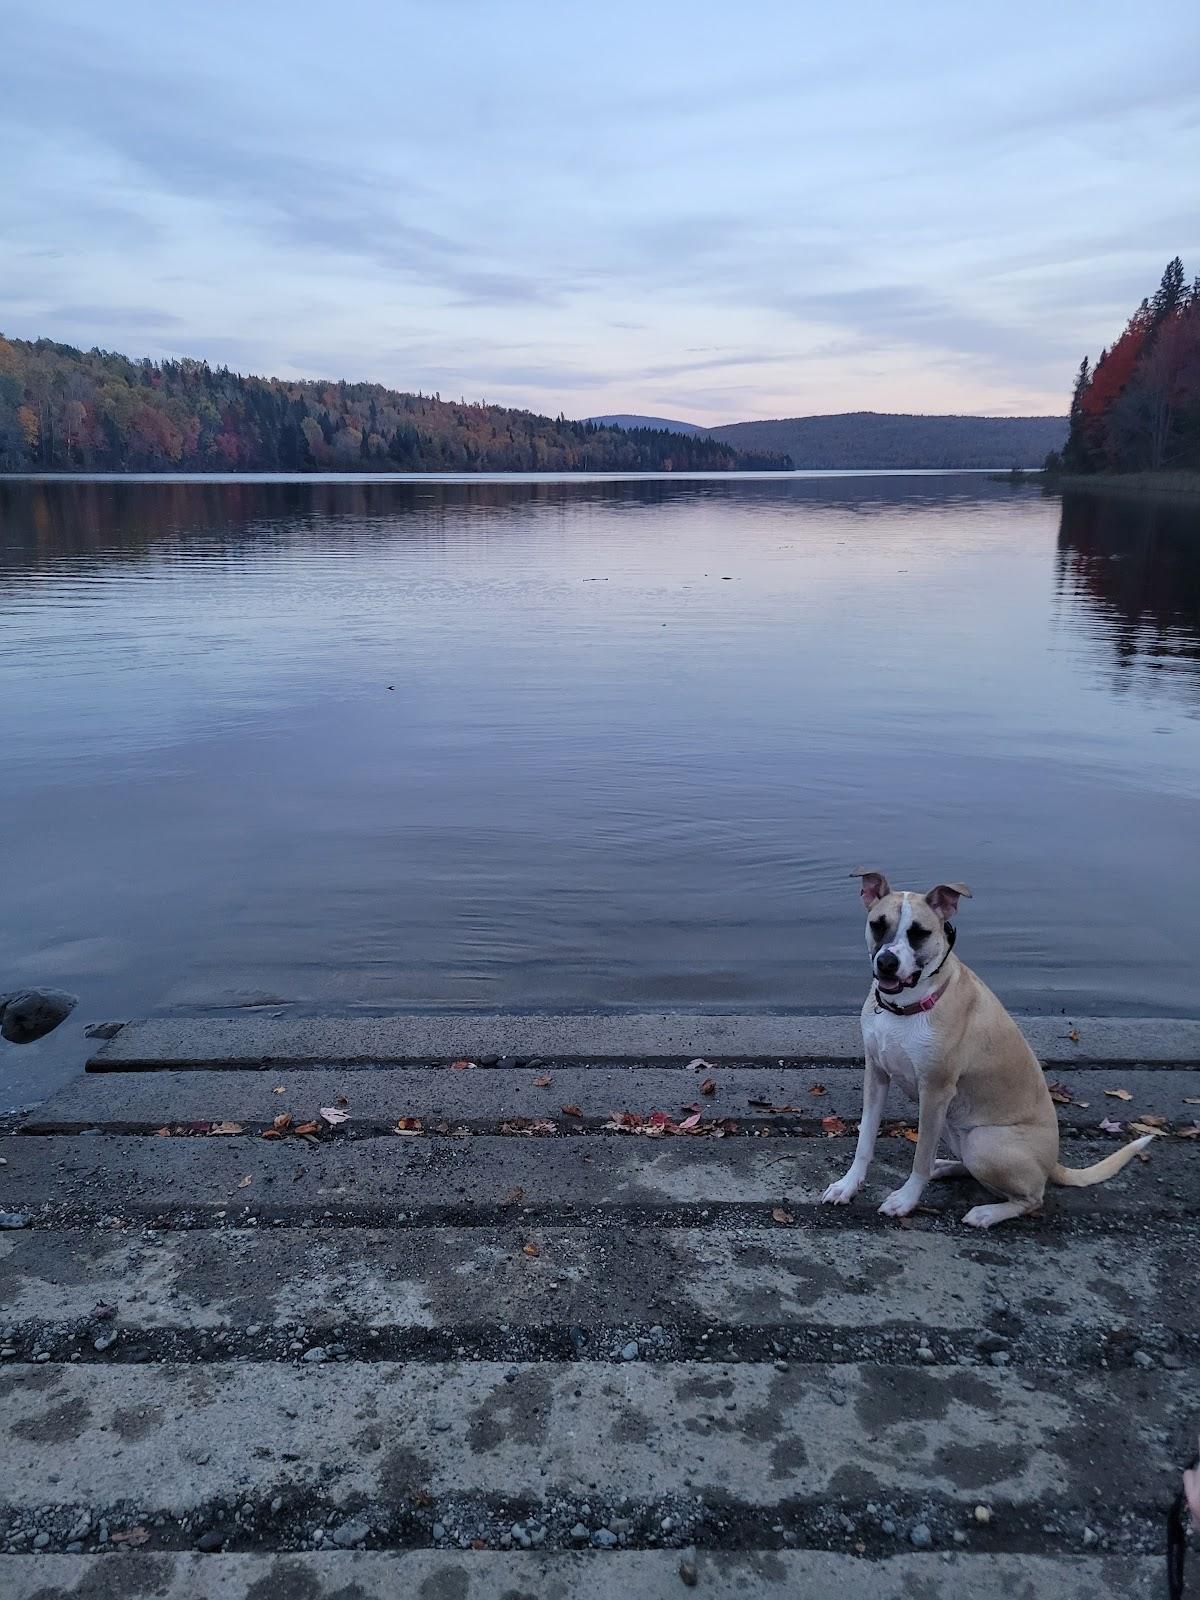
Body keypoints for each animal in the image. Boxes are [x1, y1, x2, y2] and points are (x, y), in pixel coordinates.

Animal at [825, 876, 1152, 1222]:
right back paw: (945, 1167)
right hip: (954, 1129)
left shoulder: (935, 1091)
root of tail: (1053, 1164)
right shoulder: (876, 1075)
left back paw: (986, 1213)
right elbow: (865, 1141)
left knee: (1032, 1198)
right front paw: (848, 1185)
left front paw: (906, 1199)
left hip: (982, 1140)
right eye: (878, 924)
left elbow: (920, 1157)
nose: (887, 963)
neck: (904, 1008)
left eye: (919, 933)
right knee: (969, 1169)